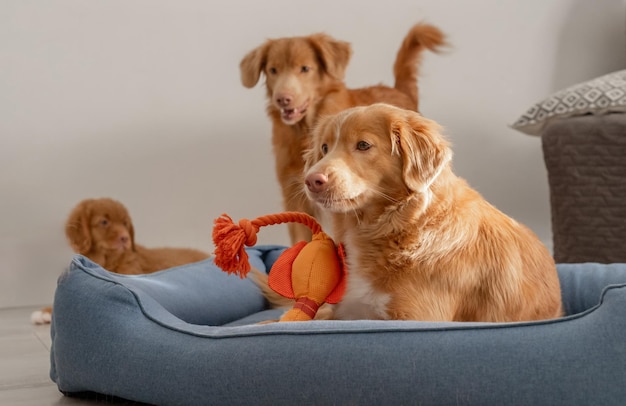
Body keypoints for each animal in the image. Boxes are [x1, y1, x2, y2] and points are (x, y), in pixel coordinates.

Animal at [238, 23, 444, 244]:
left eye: (305, 69)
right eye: (273, 70)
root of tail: (399, 90)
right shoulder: (294, 196)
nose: (283, 99)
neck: (304, 132)